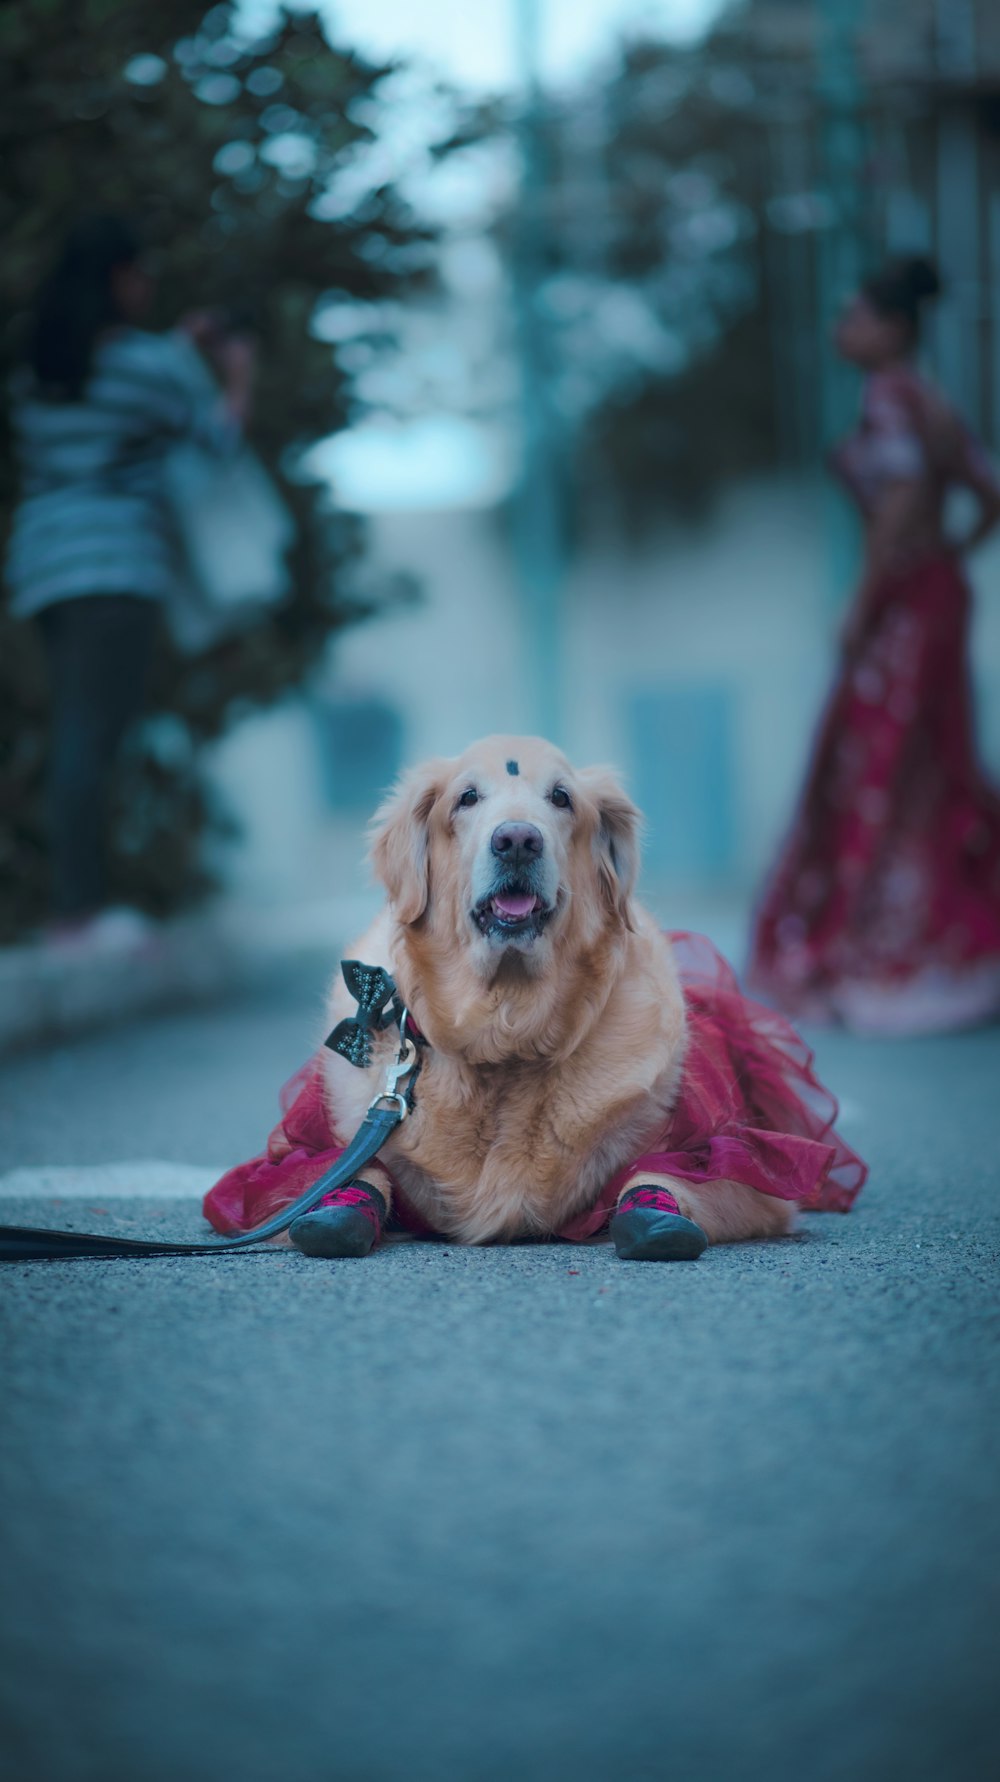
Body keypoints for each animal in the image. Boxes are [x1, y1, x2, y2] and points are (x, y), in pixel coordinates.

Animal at [283, 730, 795, 1261]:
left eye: (561, 797)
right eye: (467, 798)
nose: (517, 842)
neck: (506, 1034)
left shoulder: (748, 1178)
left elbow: (664, 1173)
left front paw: (657, 1216)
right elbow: (352, 1169)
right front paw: (337, 1210)